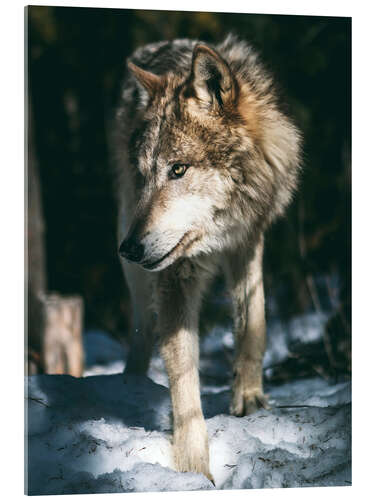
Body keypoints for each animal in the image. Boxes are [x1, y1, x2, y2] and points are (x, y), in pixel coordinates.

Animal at [111, 34, 302, 480]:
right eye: (145, 175)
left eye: (178, 169)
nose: (130, 248)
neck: (218, 231)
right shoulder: (175, 274)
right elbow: (183, 378)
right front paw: (193, 468)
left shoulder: (248, 239)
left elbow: (254, 322)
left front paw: (249, 399)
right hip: (130, 247)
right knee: (142, 325)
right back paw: (130, 383)